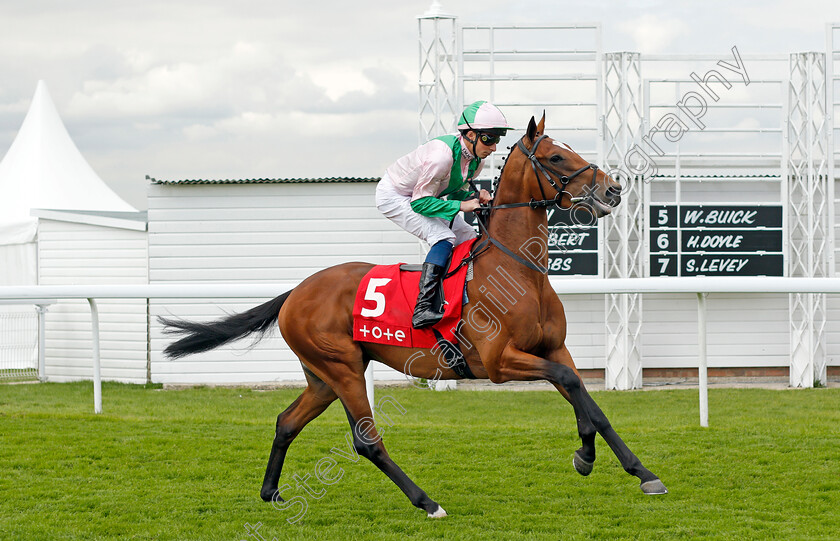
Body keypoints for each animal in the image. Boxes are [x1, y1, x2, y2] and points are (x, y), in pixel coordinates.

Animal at [159, 115, 668, 520]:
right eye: (557, 157)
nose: (613, 189)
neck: (517, 268)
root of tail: (296, 293)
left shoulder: (552, 348)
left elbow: (586, 396)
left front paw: (628, 467)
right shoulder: (498, 362)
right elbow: (569, 382)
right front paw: (592, 457)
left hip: (322, 376)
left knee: (286, 421)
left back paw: (271, 492)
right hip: (342, 369)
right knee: (366, 441)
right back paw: (427, 502)